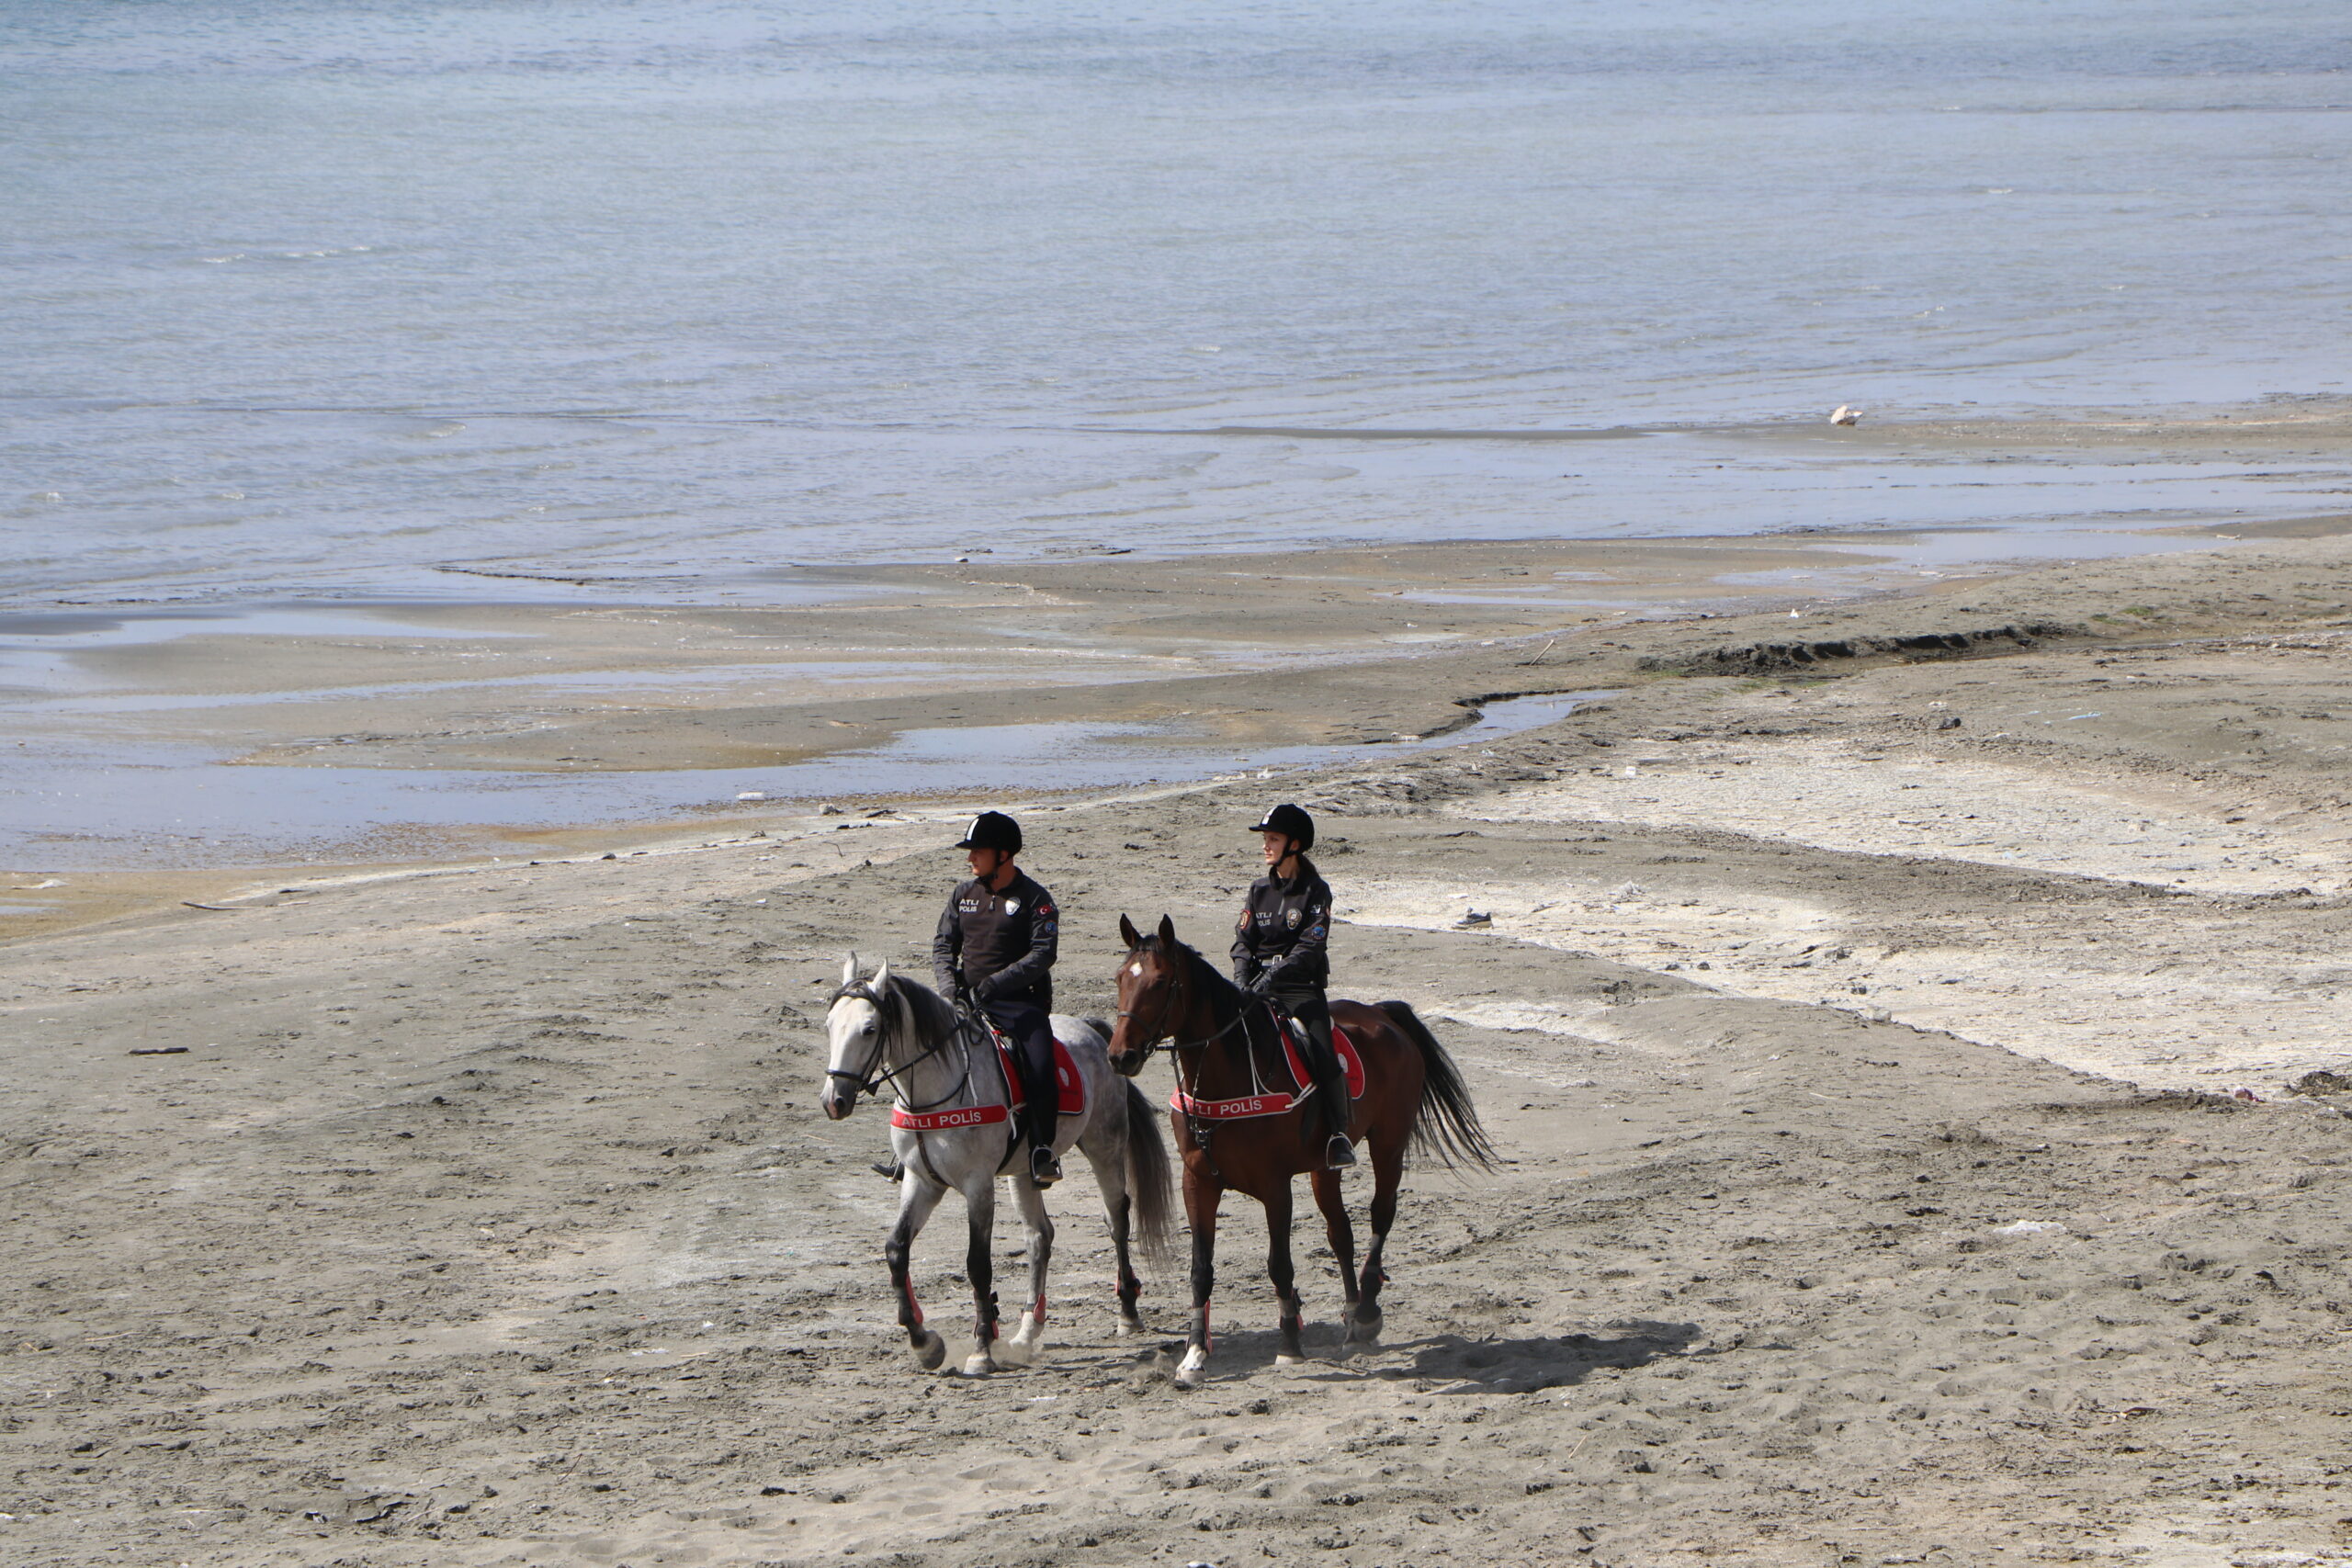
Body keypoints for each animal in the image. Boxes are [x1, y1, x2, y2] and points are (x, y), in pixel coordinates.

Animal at [823, 959, 1170, 1372]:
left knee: (1117, 1220)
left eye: (869, 1029)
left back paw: (1127, 1312)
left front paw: (981, 1349)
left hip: (1105, 1148)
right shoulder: (922, 1181)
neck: (937, 1091)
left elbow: (977, 1264)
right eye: (829, 1026)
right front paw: (925, 1343)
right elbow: (896, 1249)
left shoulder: (978, 1184)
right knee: (1039, 1237)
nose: (834, 1101)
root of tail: (1093, 1032)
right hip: (1024, 1173)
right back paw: (1027, 1331)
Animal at [1110, 911, 1496, 1382]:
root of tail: (1382, 1014)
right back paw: (1353, 1322)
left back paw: (1367, 1309)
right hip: (1323, 1168)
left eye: (1162, 982)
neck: (1233, 1074)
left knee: (1380, 1215)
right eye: (1120, 979)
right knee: (1341, 1233)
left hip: (1388, 1145)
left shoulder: (1275, 1186)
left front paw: (1290, 1344)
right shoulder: (1197, 1181)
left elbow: (1279, 1264)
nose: (1121, 1055)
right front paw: (1195, 1353)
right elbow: (1201, 1269)